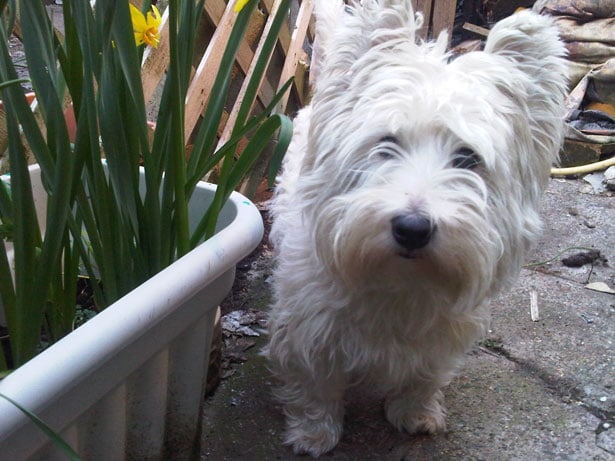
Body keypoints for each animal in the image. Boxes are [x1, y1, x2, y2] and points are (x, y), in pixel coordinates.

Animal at [264, 0, 568, 452]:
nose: (412, 228)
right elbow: (316, 382)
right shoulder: (308, 325)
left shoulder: (442, 336)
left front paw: (416, 413)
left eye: (468, 157)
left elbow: (423, 376)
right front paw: (313, 432)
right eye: (386, 143)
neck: (399, 281)